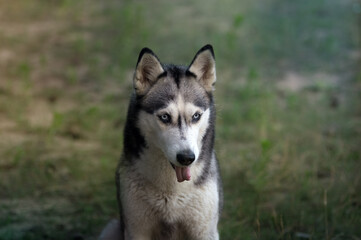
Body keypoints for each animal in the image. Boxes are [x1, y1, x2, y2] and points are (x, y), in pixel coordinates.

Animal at [114, 45, 222, 240]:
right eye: (165, 117)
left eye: (196, 116)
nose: (187, 157)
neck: (171, 192)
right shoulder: (136, 228)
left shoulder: (204, 231)